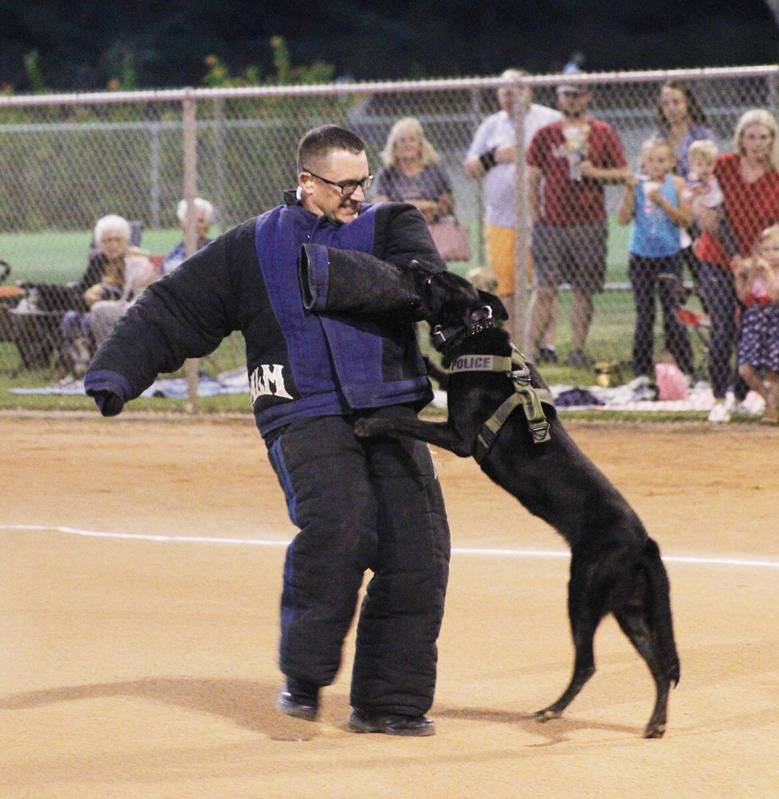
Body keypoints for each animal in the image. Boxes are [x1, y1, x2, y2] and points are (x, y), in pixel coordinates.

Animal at [356, 272, 680, 740]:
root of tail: (645, 543)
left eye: (434, 280)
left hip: (585, 590)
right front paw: (430, 363)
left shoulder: (458, 437)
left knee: (589, 663)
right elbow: (440, 376)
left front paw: (369, 423)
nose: (416, 263)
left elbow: (403, 420)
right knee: (659, 665)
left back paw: (552, 711)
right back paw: (655, 723)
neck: (476, 334)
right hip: (631, 608)